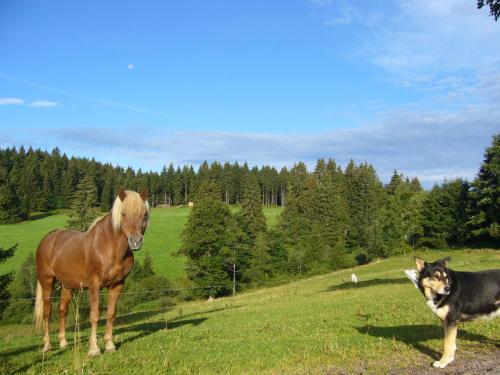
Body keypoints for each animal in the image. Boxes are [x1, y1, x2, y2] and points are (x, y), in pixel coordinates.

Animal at [34, 189, 149, 356]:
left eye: (144, 214)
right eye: (123, 214)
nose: (136, 241)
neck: (109, 247)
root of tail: (47, 239)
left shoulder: (117, 285)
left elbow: (111, 314)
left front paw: (109, 345)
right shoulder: (95, 285)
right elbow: (94, 315)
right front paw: (94, 349)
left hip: (67, 286)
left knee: (62, 310)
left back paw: (63, 343)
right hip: (47, 282)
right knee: (47, 312)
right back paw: (47, 346)